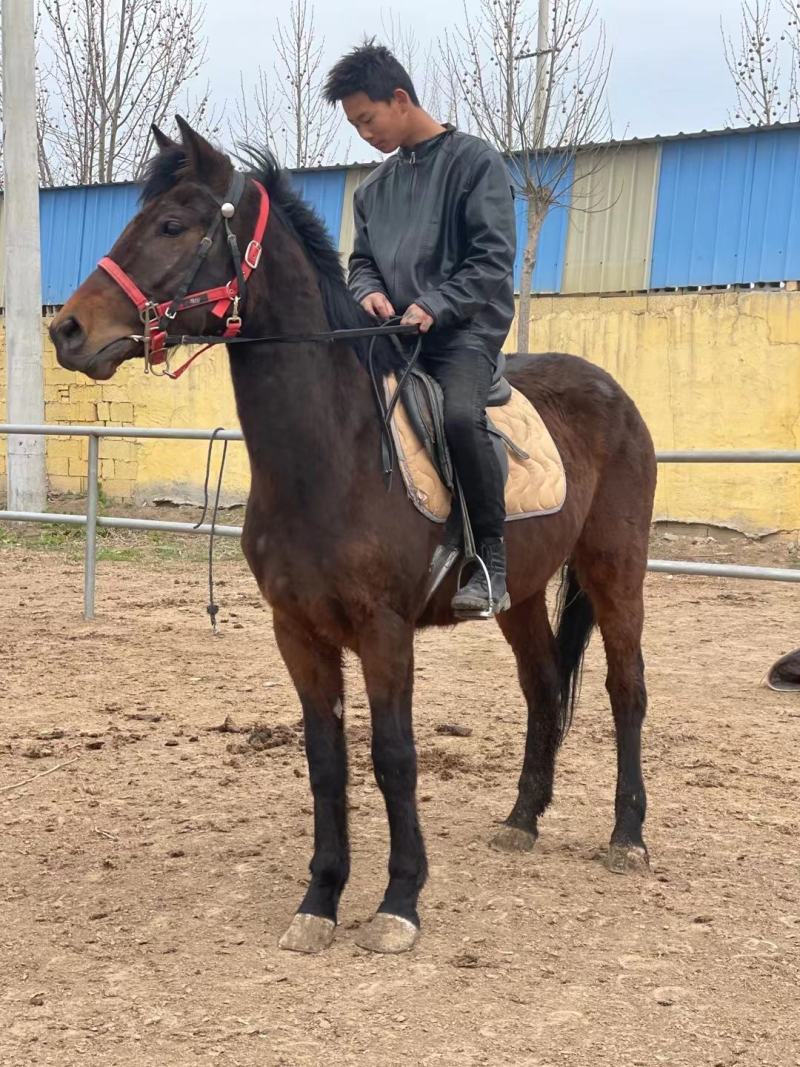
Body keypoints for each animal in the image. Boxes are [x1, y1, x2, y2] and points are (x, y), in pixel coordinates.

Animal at [50, 118, 657, 955]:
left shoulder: (383, 630)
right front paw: (320, 898)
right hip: (522, 593)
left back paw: (627, 835)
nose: (67, 329)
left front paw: (400, 900)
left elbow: (394, 757)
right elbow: (325, 761)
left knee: (626, 689)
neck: (332, 452)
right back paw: (522, 820)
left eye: (172, 224)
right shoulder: (299, 633)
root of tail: (614, 392)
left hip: (614, 568)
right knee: (541, 688)